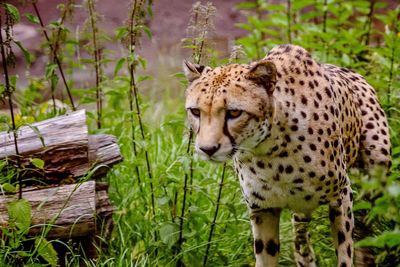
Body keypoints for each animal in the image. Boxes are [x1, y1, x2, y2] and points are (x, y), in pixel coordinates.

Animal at [184, 45, 390, 266]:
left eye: (234, 113)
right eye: (195, 111)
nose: (207, 149)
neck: (271, 152)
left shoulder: (341, 196)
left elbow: (345, 251)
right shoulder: (263, 209)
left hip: (376, 174)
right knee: (301, 238)